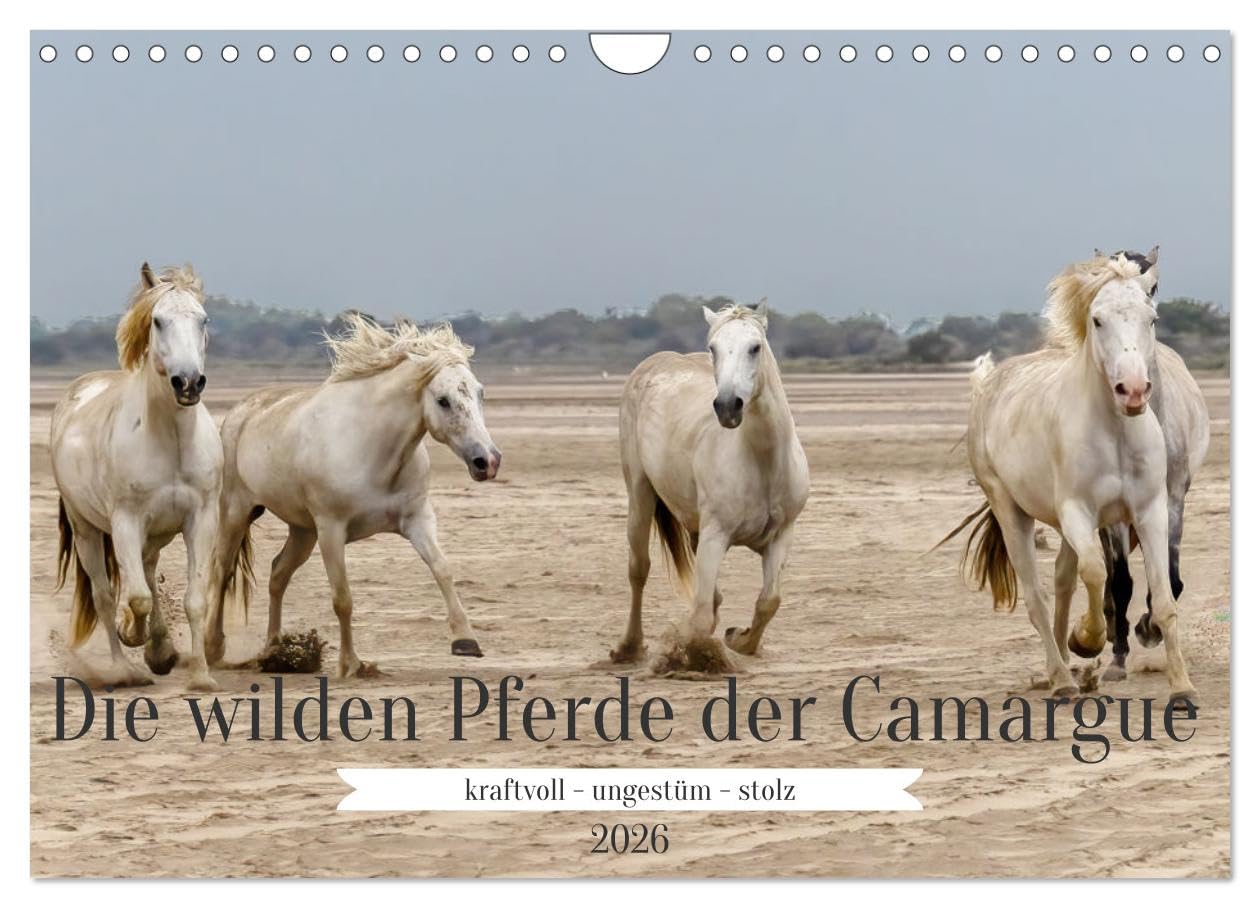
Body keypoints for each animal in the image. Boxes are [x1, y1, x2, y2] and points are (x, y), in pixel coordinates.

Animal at [50, 263, 222, 690]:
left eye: (204, 319)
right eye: (158, 321)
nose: (188, 382)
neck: (171, 440)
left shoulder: (201, 518)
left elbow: (195, 599)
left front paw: (200, 676)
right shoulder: (126, 521)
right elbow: (136, 598)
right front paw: (132, 635)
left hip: (154, 533)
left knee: (144, 570)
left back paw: (160, 651)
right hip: (86, 530)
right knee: (105, 594)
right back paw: (127, 667)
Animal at [209, 314, 501, 678]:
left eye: (480, 392)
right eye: (443, 400)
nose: (487, 461)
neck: (373, 448)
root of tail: (239, 413)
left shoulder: (417, 520)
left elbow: (442, 568)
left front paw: (465, 640)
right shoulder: (331, 530)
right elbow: (342, 598)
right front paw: (351, 664)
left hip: (302, 531)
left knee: (278, 574)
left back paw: (274, 650)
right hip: (237, 513)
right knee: (222, 571)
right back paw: (213, 648)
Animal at [612, 301, 809, 665]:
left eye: (755, 347)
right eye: (713, 348)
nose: (728, 406)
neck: (761, 463)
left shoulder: (781, 536)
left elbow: (768, 602)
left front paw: (739, 639)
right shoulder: (716, 535)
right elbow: (701, 614)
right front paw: (696, 659)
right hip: (640, 494)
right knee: (639, 569)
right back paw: (628, 647)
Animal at [945, 254, 1195, 701]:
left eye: (1151, 317)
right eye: (1097, 319)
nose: (1133, 390)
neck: (1114, 431)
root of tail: (989, 383)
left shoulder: (1150, 509)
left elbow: (1164, 596)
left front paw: (1182, 687)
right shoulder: (1080, 511)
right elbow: (1096, 573)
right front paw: (1088, 639)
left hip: (1063, 526)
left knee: (1062, 581)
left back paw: (1060, 667)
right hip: (1012, 510)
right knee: (1037, 596)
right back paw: (1062, 679)